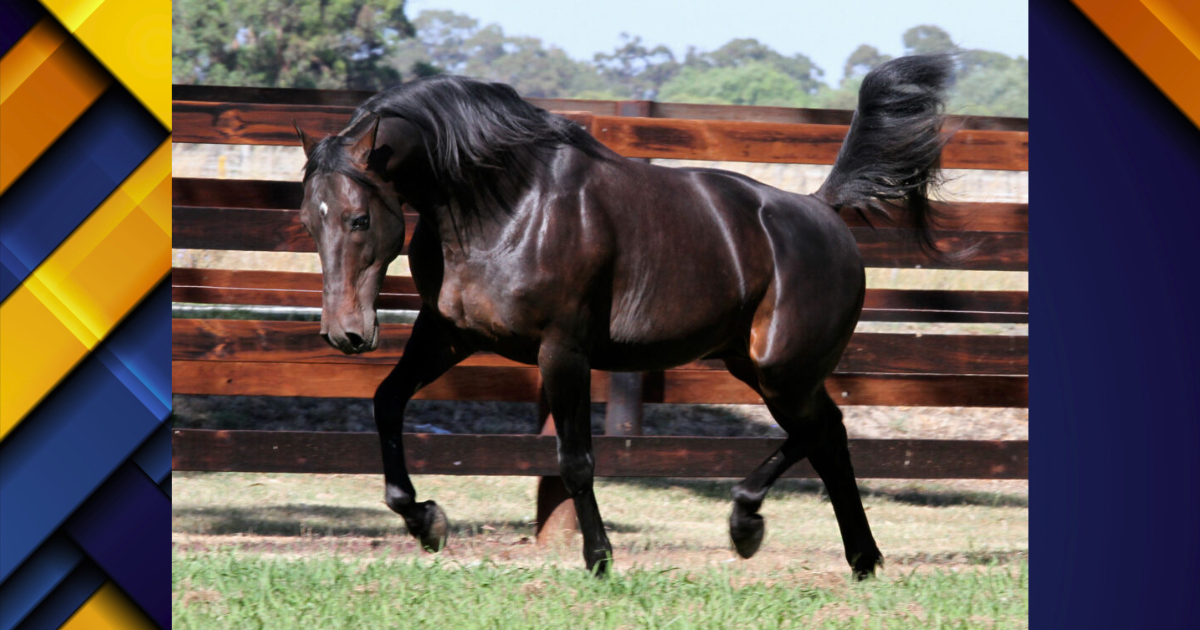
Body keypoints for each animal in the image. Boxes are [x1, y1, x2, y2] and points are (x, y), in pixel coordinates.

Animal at [292, 55, 956, 578]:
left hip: (781, 370)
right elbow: (386, 401)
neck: (505, 208)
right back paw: (854, 557)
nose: (345, 333)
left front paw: (599, 558)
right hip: (757, 366)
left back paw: (751, 524)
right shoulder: (447, 334)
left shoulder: (563, 350)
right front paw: (426, 520)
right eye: (308, 220)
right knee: (829, 436)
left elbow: (576, 460)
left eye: (358, 218)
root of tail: (824, 211)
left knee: (821, 432)